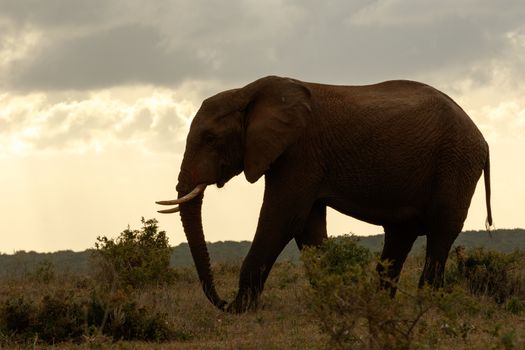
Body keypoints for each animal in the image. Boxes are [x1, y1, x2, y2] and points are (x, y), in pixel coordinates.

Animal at [156, 75, 492, 314]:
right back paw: (382, 304)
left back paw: (428, 305)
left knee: (440, 232)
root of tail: (483, 139)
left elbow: (284, 219)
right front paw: (336, 302)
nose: (222, 303)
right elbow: (308, 226)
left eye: (210, 138)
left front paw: (242, 310)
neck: (246, 92)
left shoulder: (299, 152)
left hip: (456, 164)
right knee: (401, 234)